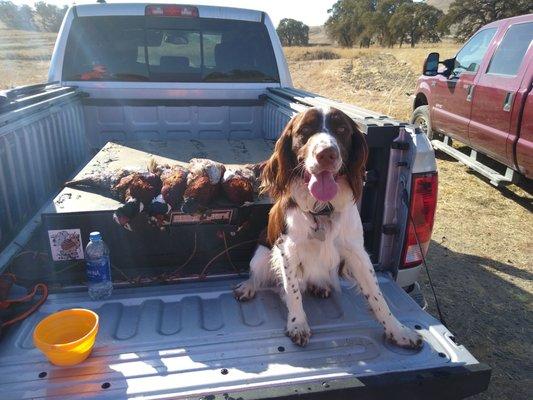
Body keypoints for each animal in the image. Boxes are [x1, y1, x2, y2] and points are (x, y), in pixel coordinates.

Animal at [235, 107, 422, 350]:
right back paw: (248, 287)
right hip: (262, 254)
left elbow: (377, 295)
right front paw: (297, 324)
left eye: (341, 129)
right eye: (305, 130)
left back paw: (320, 287)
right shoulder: (287, 249)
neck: (322, 210)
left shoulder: (357, 252)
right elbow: (292, 290)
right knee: (264, 280)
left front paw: (398, 331)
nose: (326, 154)